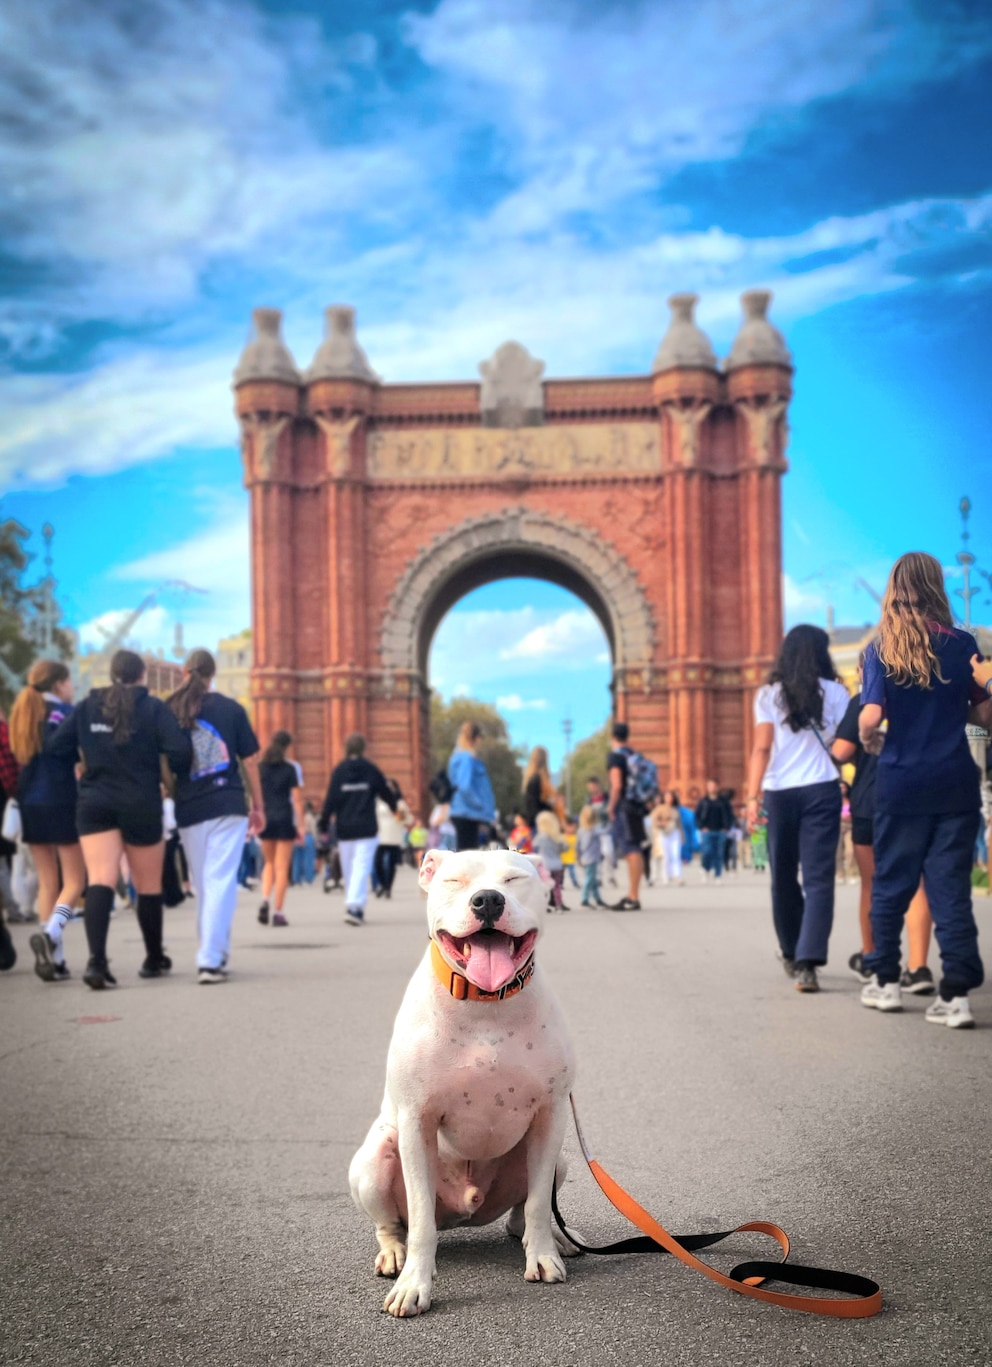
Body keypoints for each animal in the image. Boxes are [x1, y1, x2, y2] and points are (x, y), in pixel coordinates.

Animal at [352, 847, 579, 1317]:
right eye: (454, 881)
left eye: (513, 879)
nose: (488, 900)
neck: (484, 1001)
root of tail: (465, 1213)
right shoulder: (416, 1122)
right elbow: (420, 1219)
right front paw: (413, 1284)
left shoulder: (550, 1114)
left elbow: (536, 1204)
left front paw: (542, 1256)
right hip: (375, 1158)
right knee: (391, 1223)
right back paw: (394, 1255)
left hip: (558, 1158)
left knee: (523, 1211)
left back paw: (552, 1239)